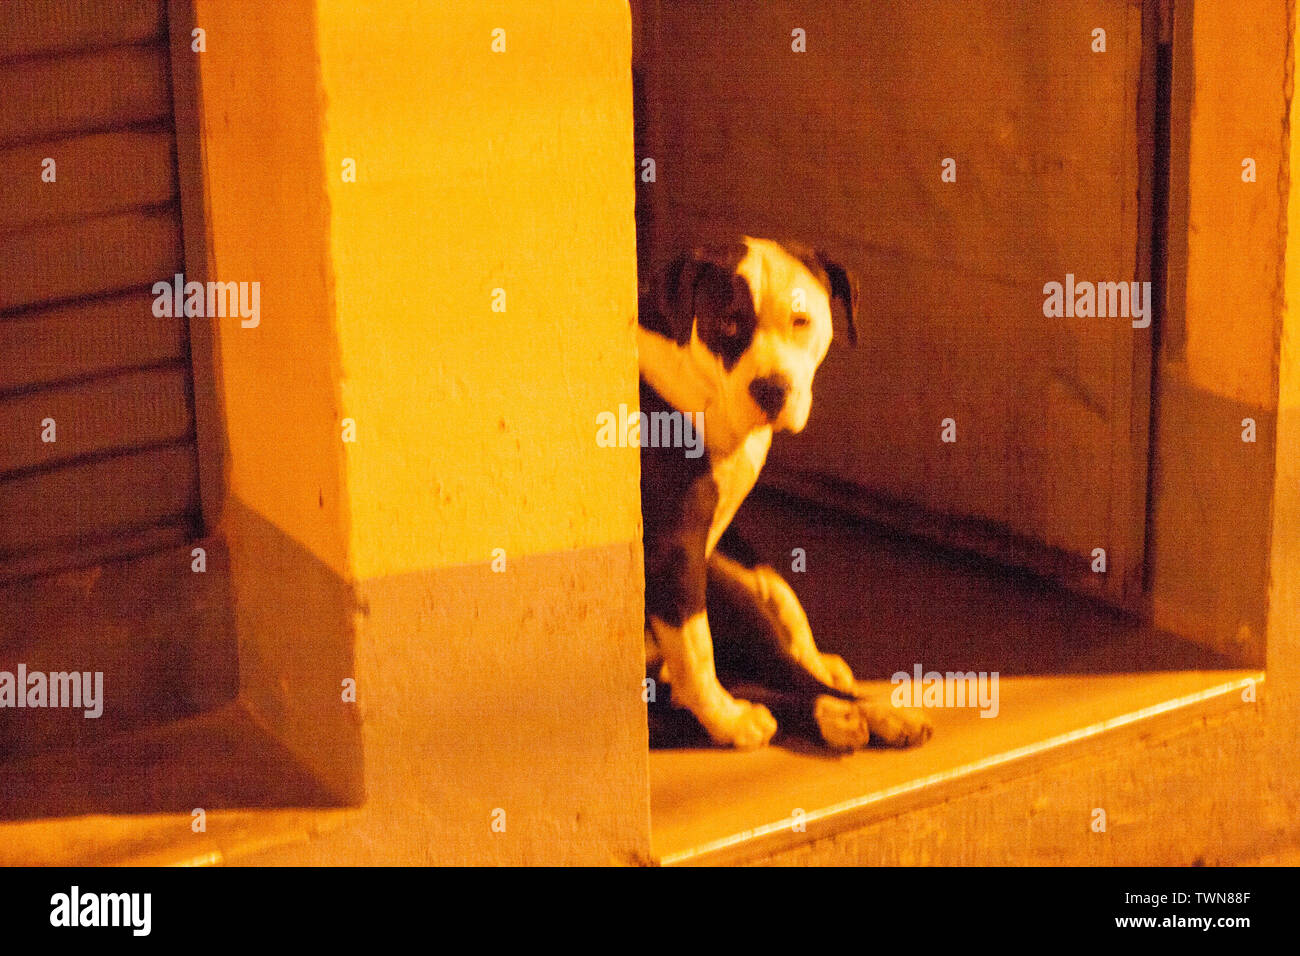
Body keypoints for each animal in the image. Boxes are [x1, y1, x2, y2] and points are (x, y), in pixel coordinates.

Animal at [639, 235, 935, 749]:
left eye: (801, 321)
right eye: (728, 323)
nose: (772, 389)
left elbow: (772, 598)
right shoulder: (674, 549)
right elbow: (697, 654)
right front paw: (724, 716)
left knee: (789, 675)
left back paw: (868, 713)